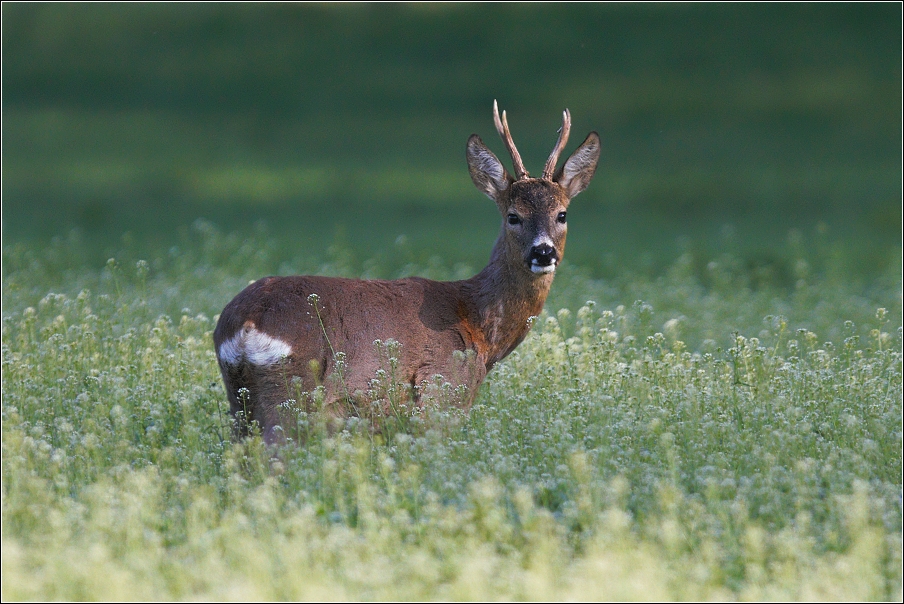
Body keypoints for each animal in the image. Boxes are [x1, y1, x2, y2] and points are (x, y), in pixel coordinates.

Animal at [212, 102, 600, 444]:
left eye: (562, 214)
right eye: (513, 216)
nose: (543, 252)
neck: (478, 325)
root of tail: (244, 324)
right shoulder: (441, 395)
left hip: (240, 404)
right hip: (291, 395)